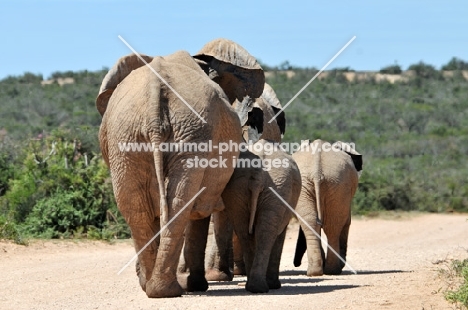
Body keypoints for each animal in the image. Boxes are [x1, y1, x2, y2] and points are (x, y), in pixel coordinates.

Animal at [96, 38, 264, 298]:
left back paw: (157, 289)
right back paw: (164, 289)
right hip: (141, 134)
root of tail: (154, 98)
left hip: (151, 136)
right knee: (163, 205)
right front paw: (195, 285)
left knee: (149, 206)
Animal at [222, 140, 302, 294]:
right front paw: (274, 285)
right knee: (265, 233)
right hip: (277, 188)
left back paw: (253, 287)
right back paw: (263, 287)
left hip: (239, 189)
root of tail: (257, 175)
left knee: (245, 232)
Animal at [292, 139, 362, 274]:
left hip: (334, 184)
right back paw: (330, 270)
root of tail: (317, 171)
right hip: (334, 184)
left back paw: (320, 271)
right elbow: (347, 222)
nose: (296, 264)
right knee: (332, 225)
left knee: (322, 223)